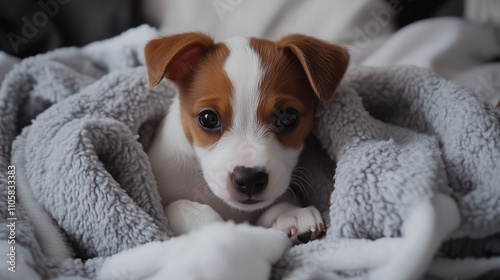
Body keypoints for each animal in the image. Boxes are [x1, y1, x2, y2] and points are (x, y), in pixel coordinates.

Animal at [144, 32, 348, 243]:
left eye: (288, 117)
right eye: (208, 118)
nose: (249, 178)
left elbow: (280, 202)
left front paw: (291, 213)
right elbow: (179, 206)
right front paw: (211, 227)